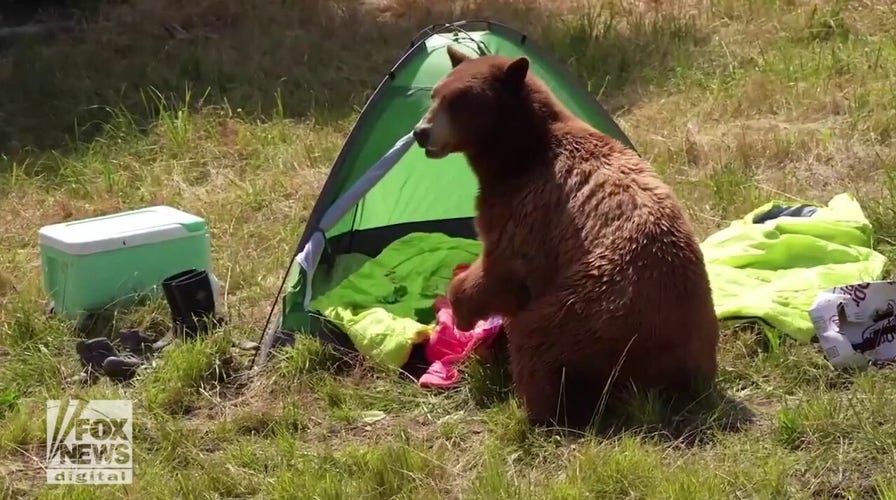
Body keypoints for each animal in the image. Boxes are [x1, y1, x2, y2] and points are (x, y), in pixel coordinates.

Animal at [412, 47, 720, 430]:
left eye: (459, 101)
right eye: (435, 94)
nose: (421, 132)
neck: (518, 155)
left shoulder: (527, 210)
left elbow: (502, 271)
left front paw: (462, 309)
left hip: (587, 312)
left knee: (535, 344)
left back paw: (536, 410)